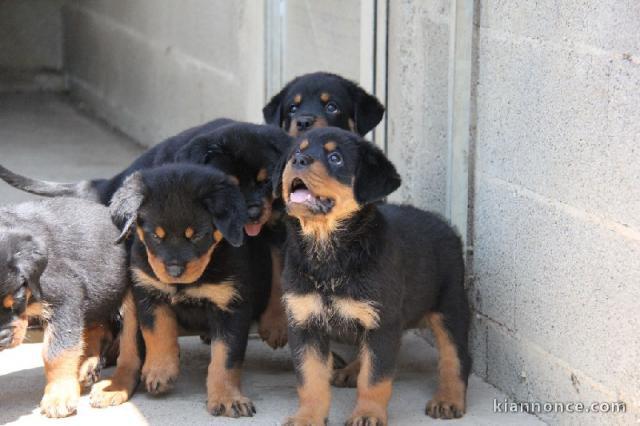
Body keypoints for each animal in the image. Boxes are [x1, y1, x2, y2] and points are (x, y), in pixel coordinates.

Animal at [0, 198, 129, 418]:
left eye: (15, 298)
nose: (1, 337)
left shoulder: (64, 297)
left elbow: (57, 352)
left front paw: (58, 397)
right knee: (98, 329)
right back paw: (87, 364)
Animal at [90, 165, 270, 418]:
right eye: (156, 236)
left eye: (197, 236)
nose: (174, 271)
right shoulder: (148, 293)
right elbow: (158, 333)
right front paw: (160, 371)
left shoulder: (231, 306)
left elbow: (225, 357)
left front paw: (227, 398)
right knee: (128, 352)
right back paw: (113, 386)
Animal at [272, 128, 472, 424]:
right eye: (297, 151)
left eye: (335, 158)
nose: (298, 160)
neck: (328, 250)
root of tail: (445, 225)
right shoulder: (304, 322)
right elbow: (311, 380)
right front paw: (307, 417)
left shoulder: (382, 323)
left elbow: (375, 377)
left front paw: (367, 414)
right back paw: (351, 370)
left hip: (450, 306)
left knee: (455, 356)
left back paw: (448, 399)